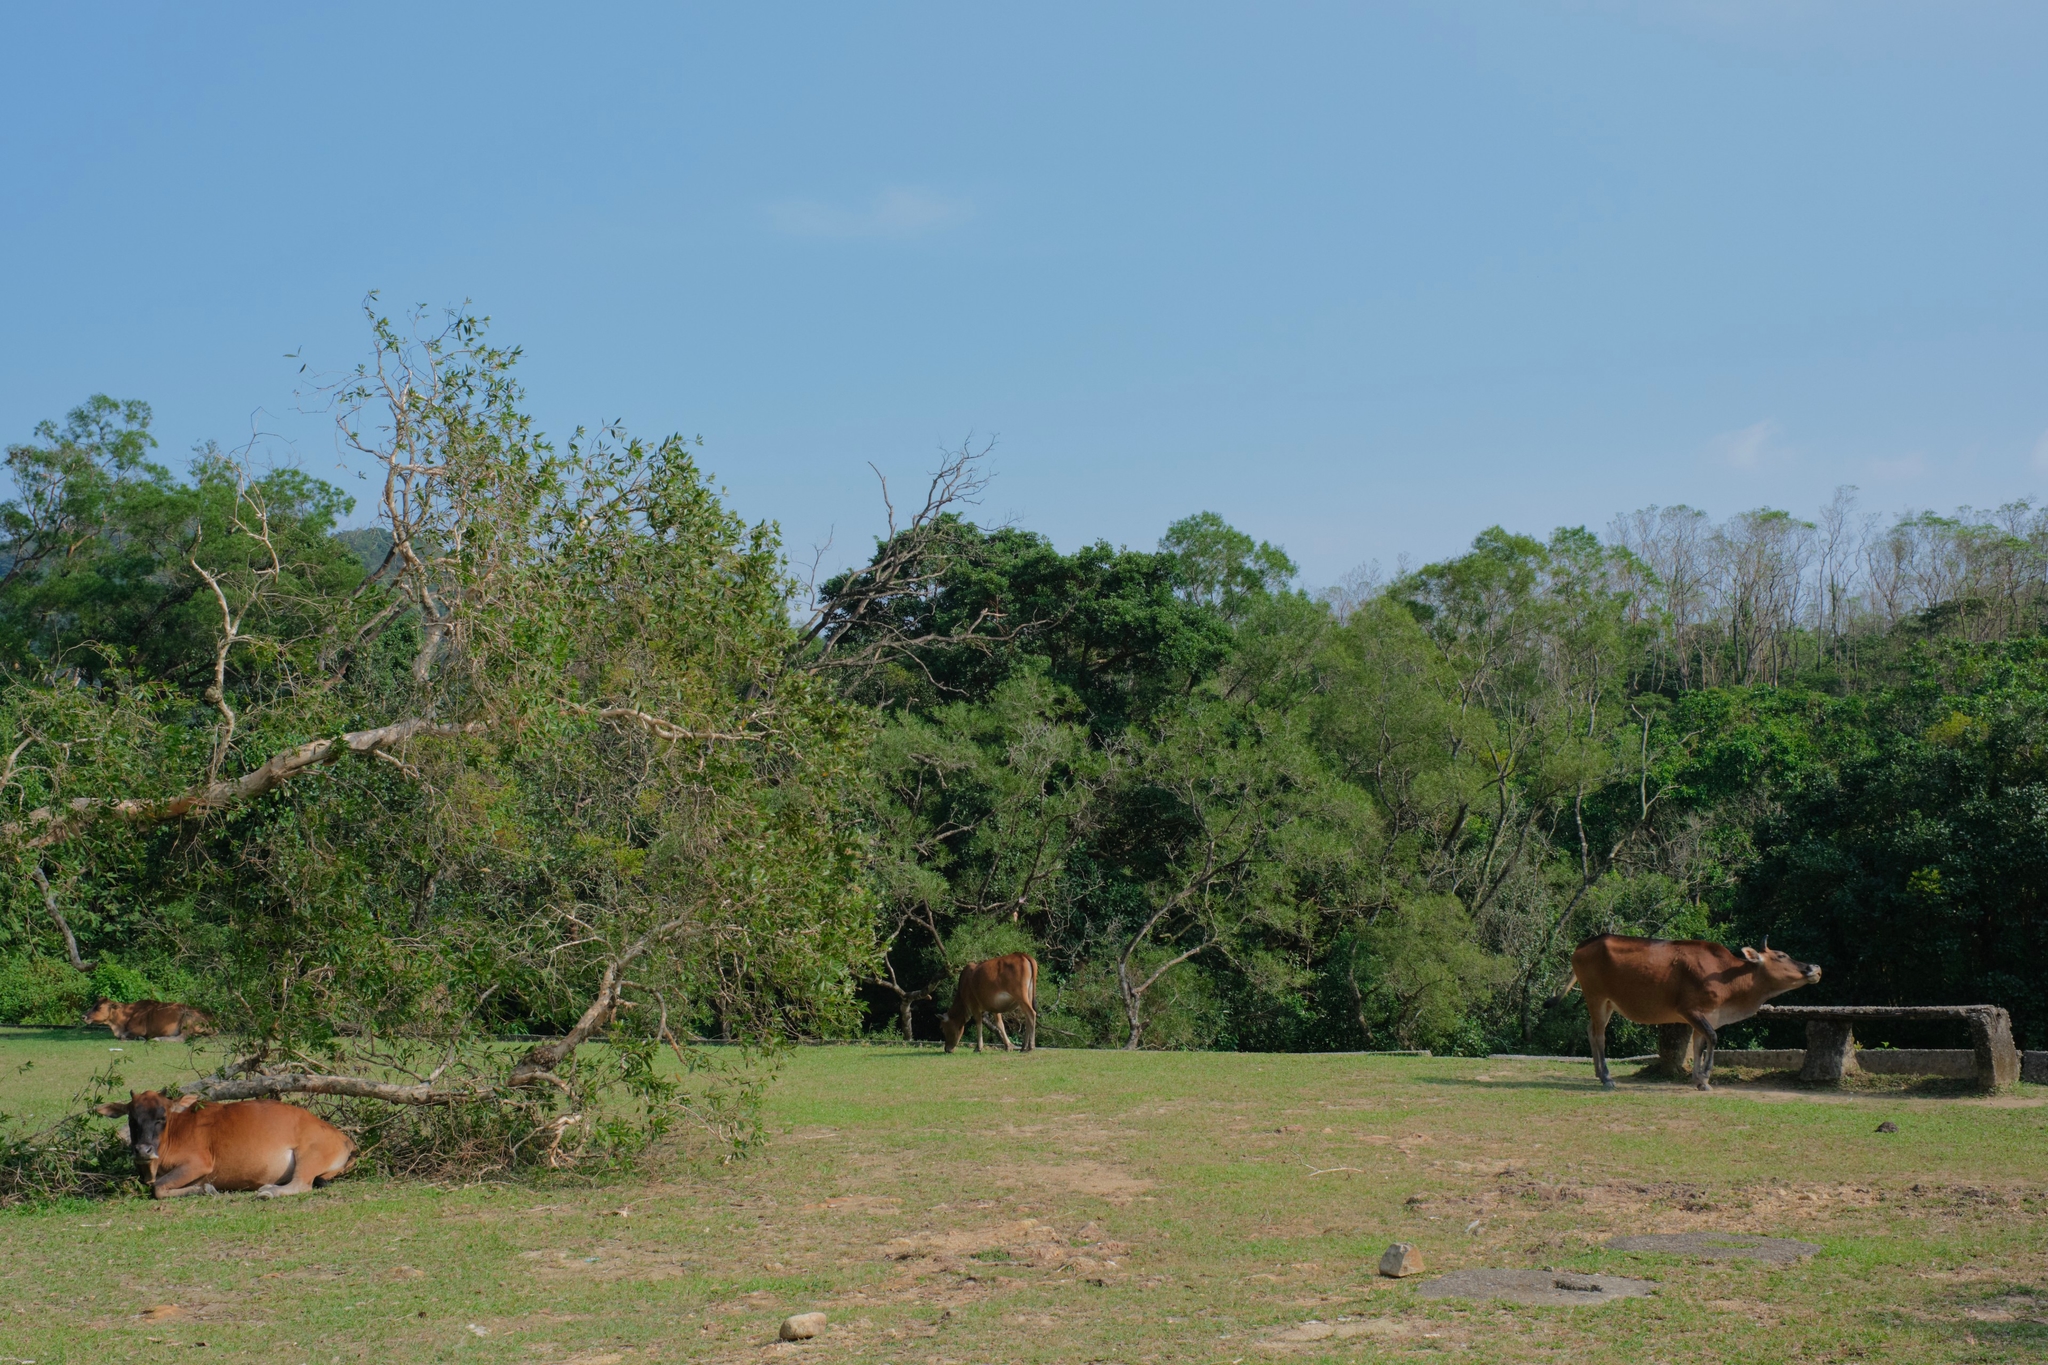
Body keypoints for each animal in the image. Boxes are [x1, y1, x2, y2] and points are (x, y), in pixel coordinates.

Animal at [82, 999, 212, 1041]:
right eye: (93, 1005)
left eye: (98, 1007)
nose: (83, 1016)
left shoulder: (139, 1030)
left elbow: (124, 1036)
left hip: (187, 1018)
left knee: (182, 1038)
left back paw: (158, 1039)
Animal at [93, 1091, 356, 1198]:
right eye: (131, 1118)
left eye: (162, 1117)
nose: (143, 1150)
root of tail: (344, 1138)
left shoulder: (199, 1164)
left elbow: (157, 1188)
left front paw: (205, 1189)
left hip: (308, 1158)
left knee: (302, 1185)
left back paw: (269, 1191)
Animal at [1571, 934, 1821, 1091]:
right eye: (1781, 955)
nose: (1815, 967)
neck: (1727, 976)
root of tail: (1582, 946)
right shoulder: (1689, 1010)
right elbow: (1712, 1037)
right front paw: (1706, 1075)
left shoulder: (1706, 1014)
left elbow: (1699, 1044)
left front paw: (1699, 1080)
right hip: (1596, 996)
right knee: (1599, 1035)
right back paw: (1606, 1077)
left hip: (1608, 1003)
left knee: (1591, 1030)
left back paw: (1598, 1073)